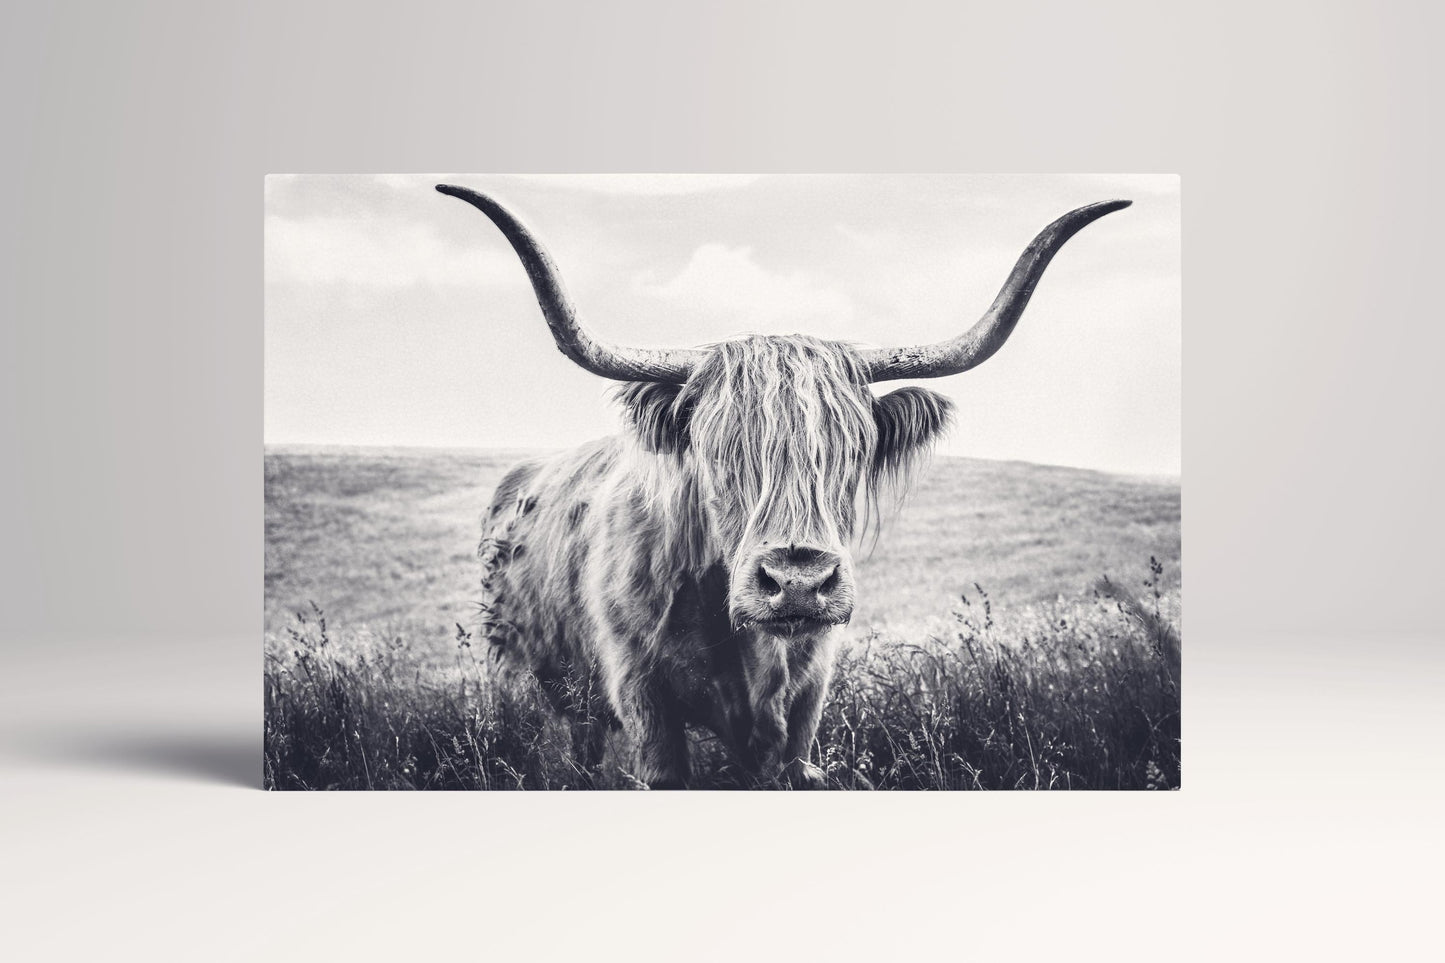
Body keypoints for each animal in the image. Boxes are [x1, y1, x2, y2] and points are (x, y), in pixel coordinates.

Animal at [437, 183, 1129, 789]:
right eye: (717, 451)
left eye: (853, 450)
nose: (798, 581)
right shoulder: (642, 696)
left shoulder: (803, 706)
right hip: (534, 684)